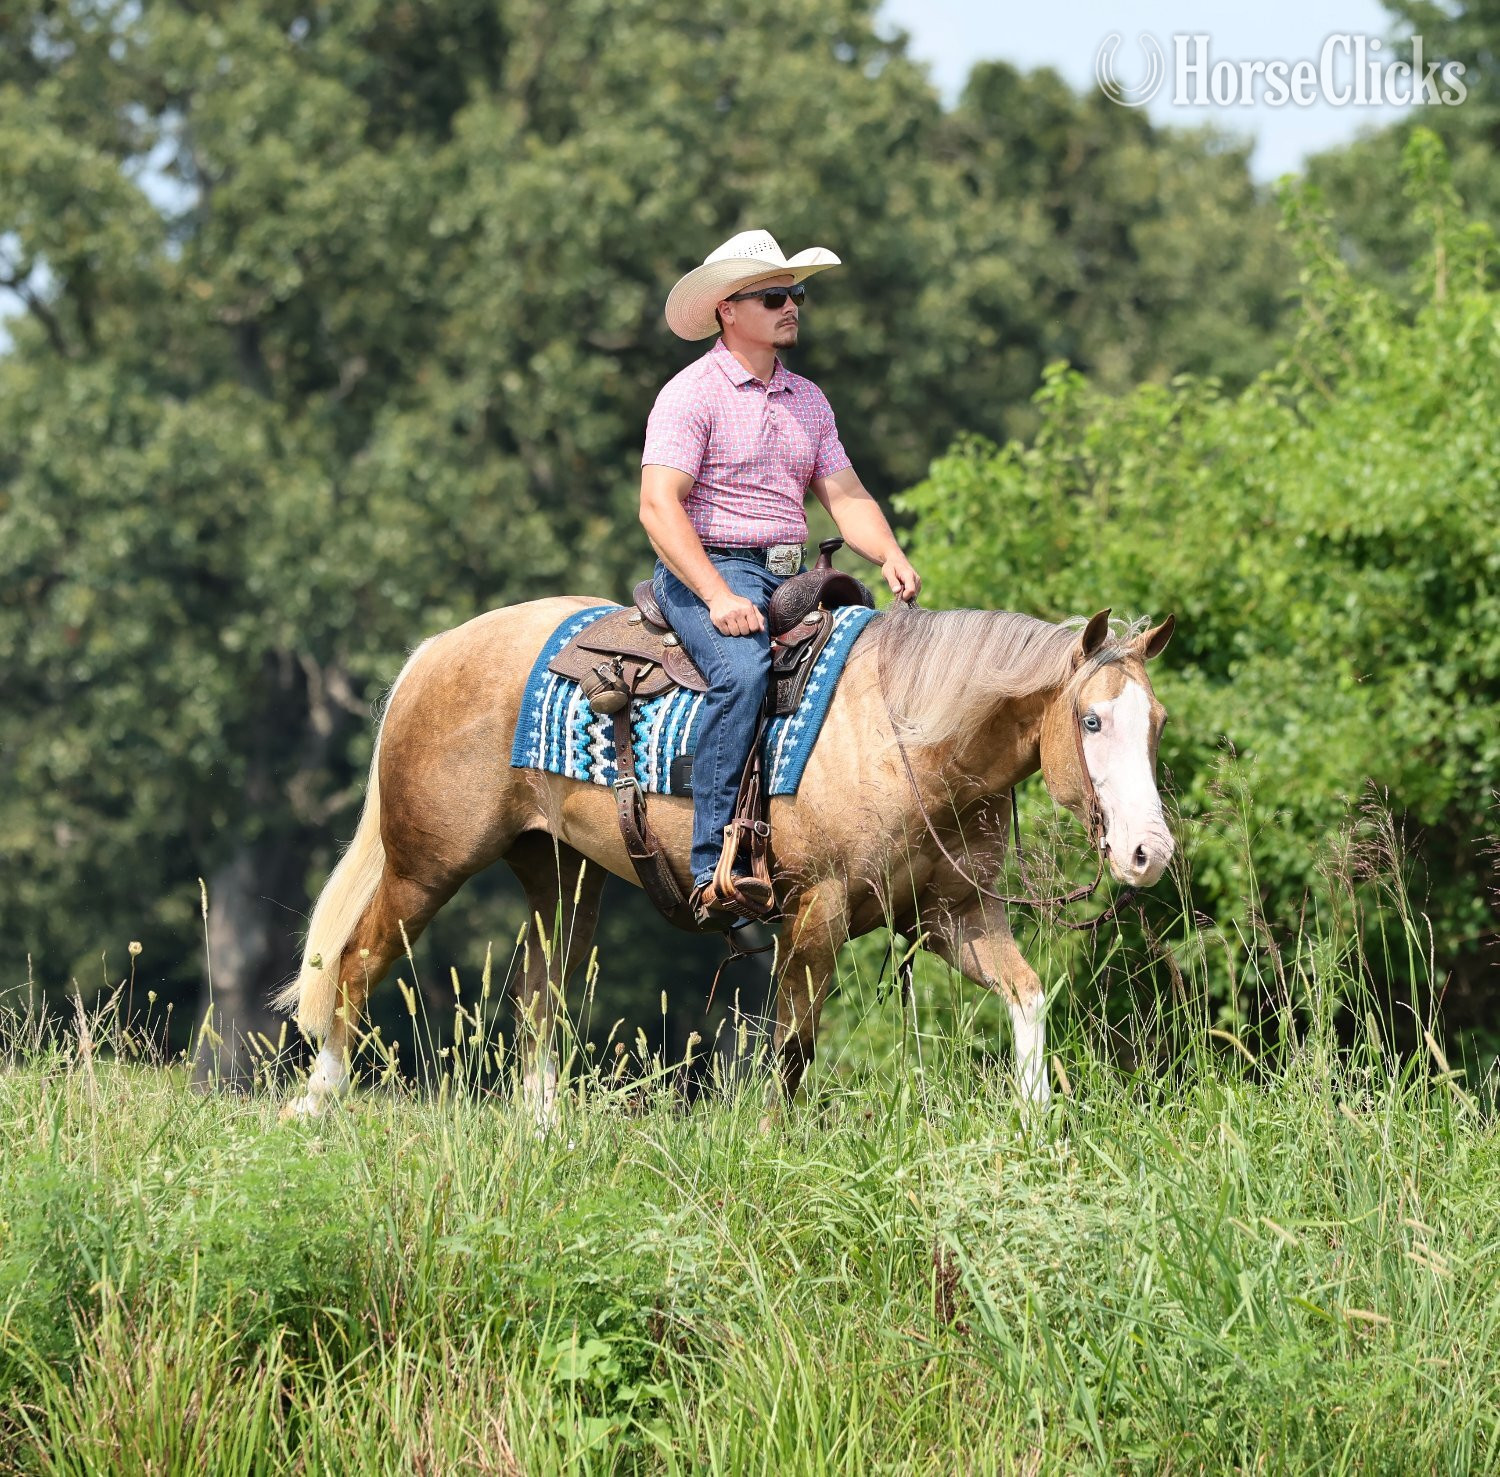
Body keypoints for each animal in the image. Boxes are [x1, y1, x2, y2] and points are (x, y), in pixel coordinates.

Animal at [275, 598, 1175, 1119]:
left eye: (1157, 721)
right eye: (1092, 721)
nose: (1149, 851)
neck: (906, 732)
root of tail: (434, 651)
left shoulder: (954, 916)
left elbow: (1028, 996)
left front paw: (1036, 1118)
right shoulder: (817, 911)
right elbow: (793, 1046)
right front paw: (780, 1141)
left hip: (562, 876)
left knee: (539, 998)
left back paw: (544, 1132)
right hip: (427, 864)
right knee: (355, 963)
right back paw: (315, 1106)